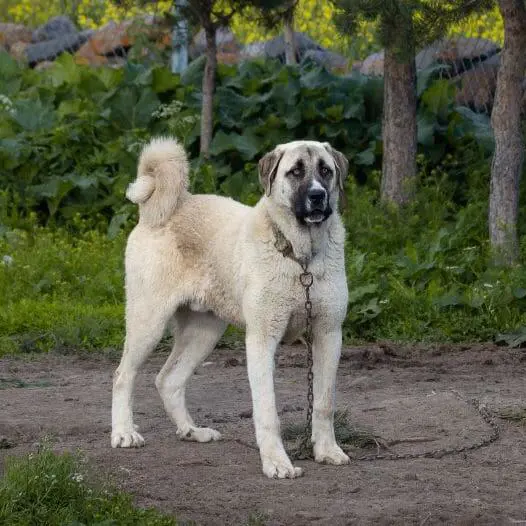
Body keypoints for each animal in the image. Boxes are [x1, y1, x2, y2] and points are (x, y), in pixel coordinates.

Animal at [111, 138, 350, 480]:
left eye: (326, 171)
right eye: (295, 171)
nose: (318, 196)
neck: (300, 257)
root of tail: (160, 210)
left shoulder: (329, 335)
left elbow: (324, 402)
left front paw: (327, 450)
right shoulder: (262, 340)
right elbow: (267, 411)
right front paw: (276, 463)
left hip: (204, 333)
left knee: (168, 379)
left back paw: (191, 431)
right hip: (148, 322)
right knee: (123, 375)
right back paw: (123, 432)